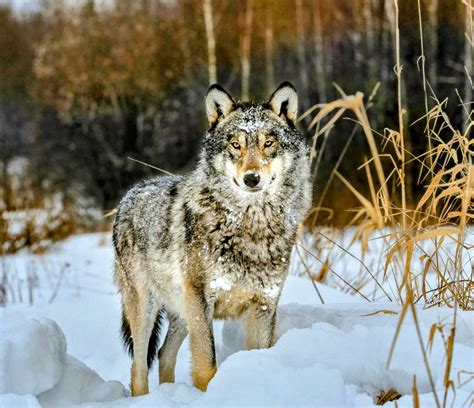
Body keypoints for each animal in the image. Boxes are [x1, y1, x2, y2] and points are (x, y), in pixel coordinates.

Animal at [111, 81, 312, 396]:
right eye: (235, 145)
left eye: (268, 143)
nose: (251, 178)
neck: (250, 227)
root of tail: (129, 195)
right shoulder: (201, 300)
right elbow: (206, 366)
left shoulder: (264, 304)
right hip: (147, 310)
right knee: (139, 365)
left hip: (181, 311)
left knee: (163, 354)